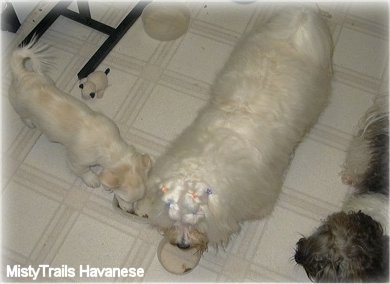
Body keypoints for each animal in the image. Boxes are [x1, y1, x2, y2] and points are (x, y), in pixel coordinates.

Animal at [8, 40, 152, 204]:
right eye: (125, 200)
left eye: (137, 201)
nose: (131, 208)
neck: (109, 144)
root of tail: (20, 73)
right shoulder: (77, 161)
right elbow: (83, 171)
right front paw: (93, 180)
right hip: (20, 108)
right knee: (23, 116)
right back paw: (30, 123)